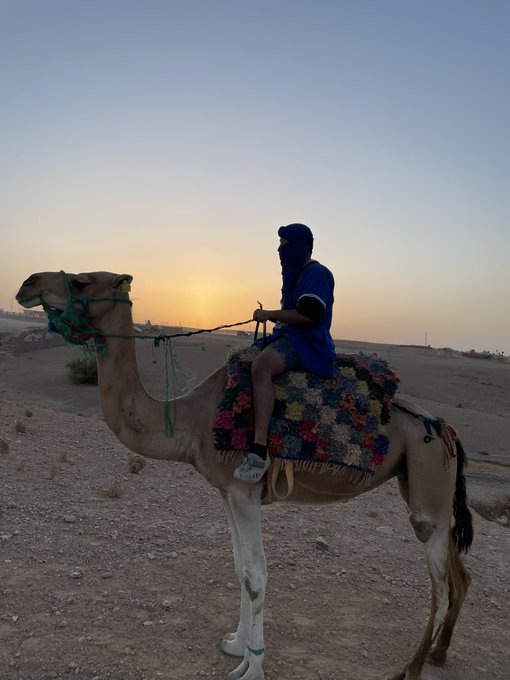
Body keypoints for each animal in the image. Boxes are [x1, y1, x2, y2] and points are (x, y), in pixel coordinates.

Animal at [16, 270, 473, 680]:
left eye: (81, 281)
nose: (26, 284)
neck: (193, 418)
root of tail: (445, 429)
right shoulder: (227, 491)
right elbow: (238, 568)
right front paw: (236, 643)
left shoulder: (243, 490)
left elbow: (255, 576)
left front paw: (250, 666)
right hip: (418, 482)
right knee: (459, 571)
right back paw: (438, 655)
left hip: (427, 485)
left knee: (440, 584)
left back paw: (411, 668)